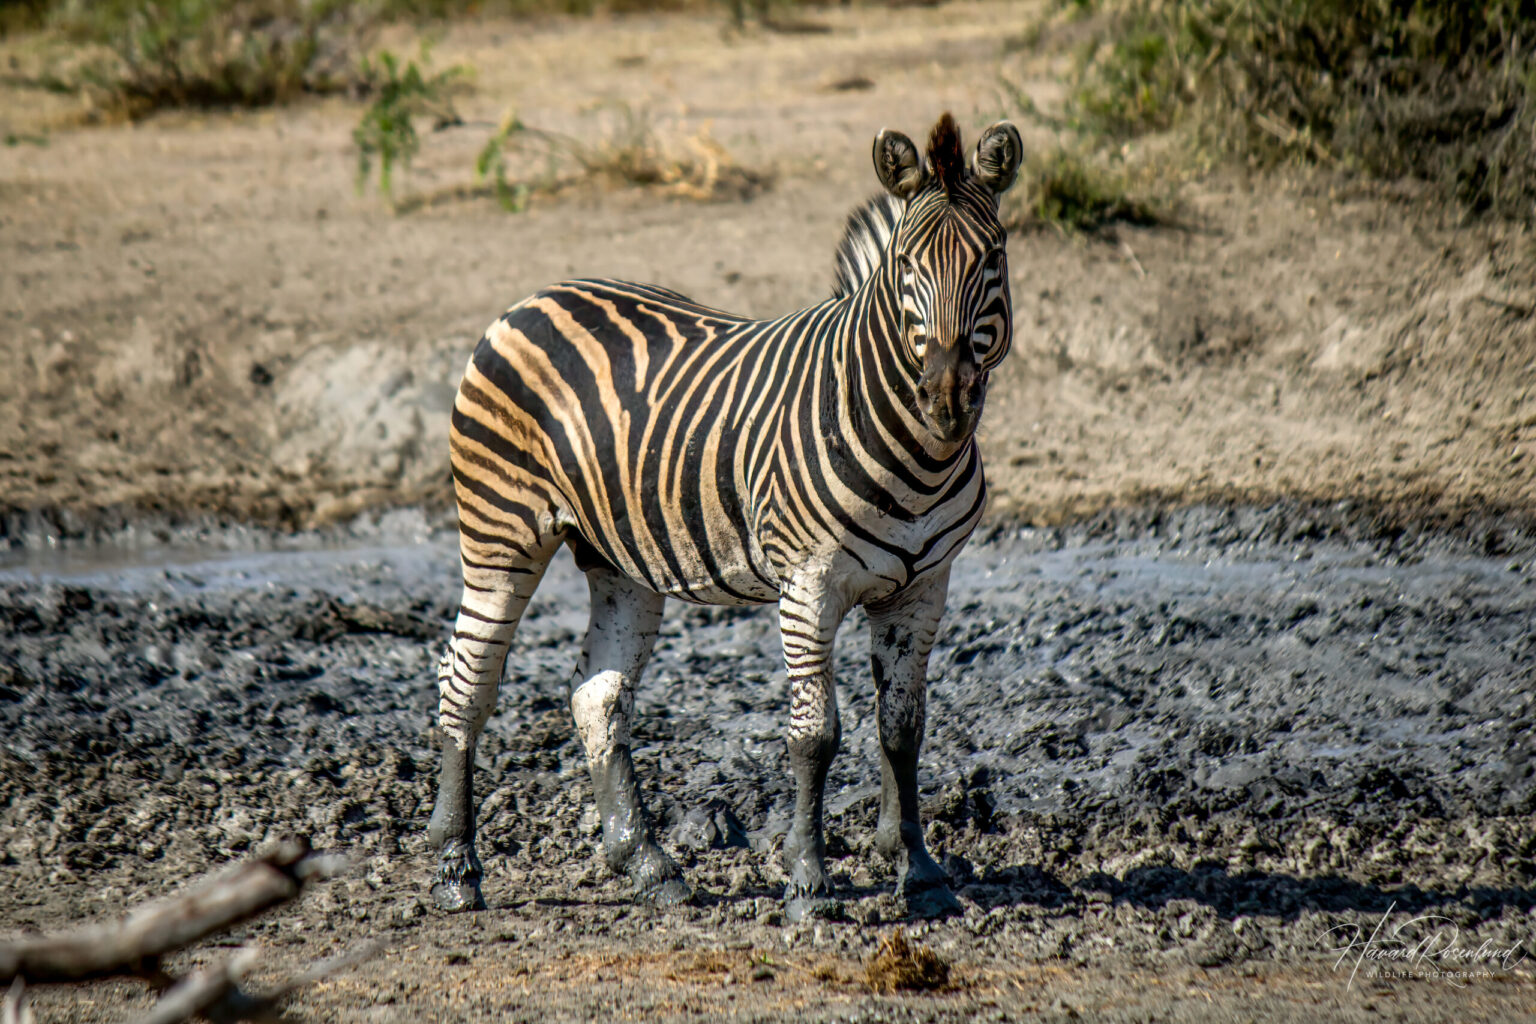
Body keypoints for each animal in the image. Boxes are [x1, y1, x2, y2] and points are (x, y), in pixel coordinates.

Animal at [428, 112, 1022, 921]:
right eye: (906, 264)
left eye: (992, 257)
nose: (948, 398)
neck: (914, 449)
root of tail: (532, 297)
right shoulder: (808, 585)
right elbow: (815, 735)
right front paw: (808, 883)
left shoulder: (923, 589)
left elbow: (903, 729)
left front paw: (922, 874)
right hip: (501, 533)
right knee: (469, 682)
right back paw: (457, 868)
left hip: (618, 560)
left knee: (596, 696)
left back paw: (648, 863)